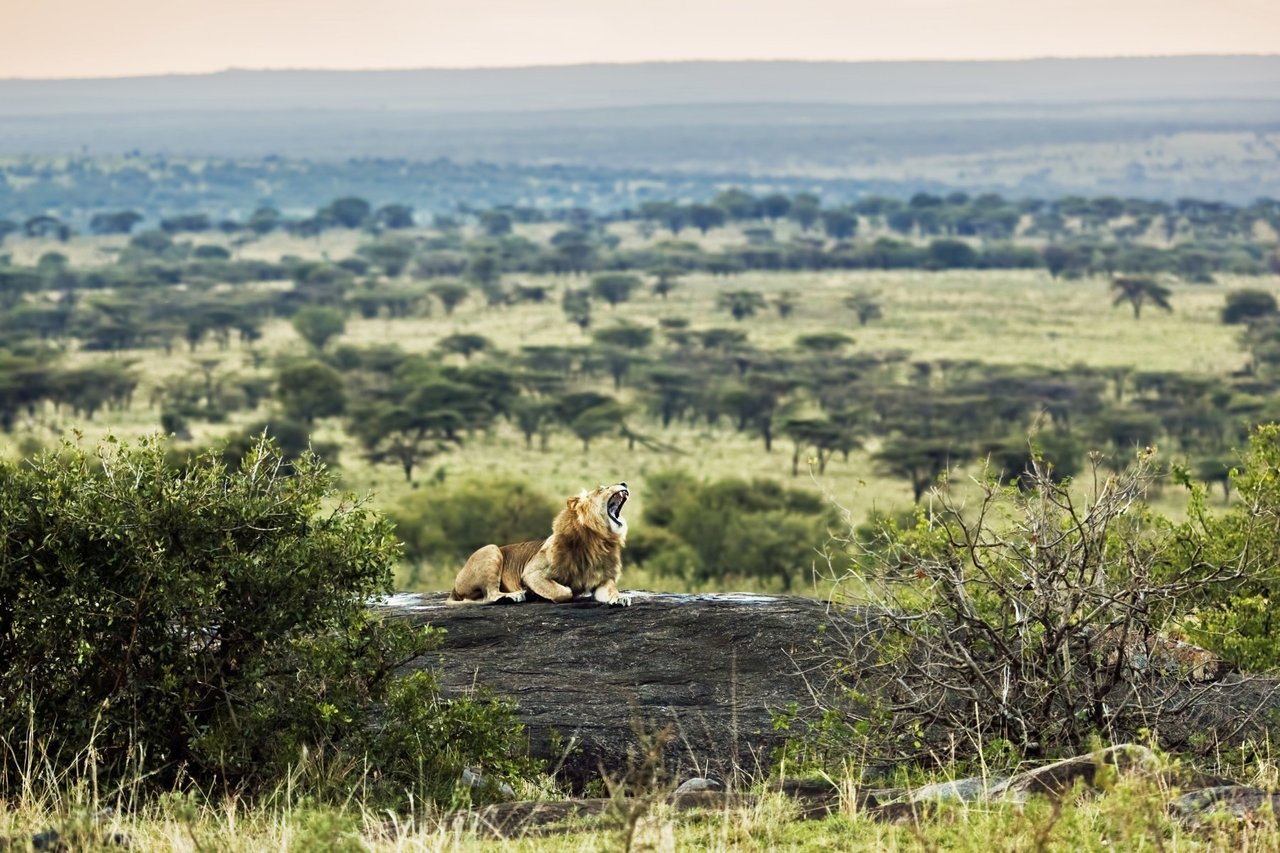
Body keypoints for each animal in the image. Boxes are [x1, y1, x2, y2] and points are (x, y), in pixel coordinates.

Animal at [445, 479, 634, 604]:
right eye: (602, 489)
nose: (624, 483)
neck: (597, 539)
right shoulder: (532, 573)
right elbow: (563, 592)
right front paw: (537, 592)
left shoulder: (602, 579)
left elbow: (610, 589)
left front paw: (619, 597)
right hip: (491, 549)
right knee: (490, 595)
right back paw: (514, 595)